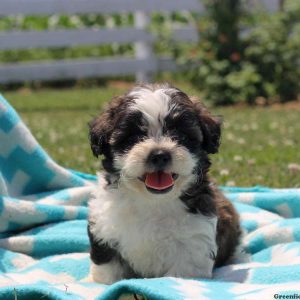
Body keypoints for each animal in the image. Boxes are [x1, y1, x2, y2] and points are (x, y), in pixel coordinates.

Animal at [88, 82, 240, 284]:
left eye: (180, 137)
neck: (153, 201)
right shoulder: (105, 231)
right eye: (133, 138)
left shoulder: (192, 246)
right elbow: (107, 271)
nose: (159, 155)